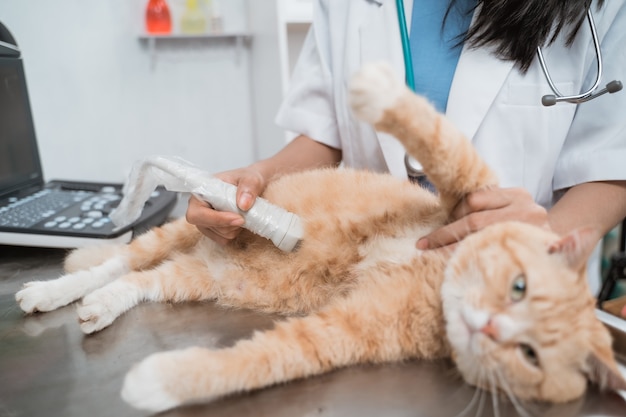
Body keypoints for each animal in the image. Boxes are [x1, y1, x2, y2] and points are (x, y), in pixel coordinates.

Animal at [14, 62, 624, 412]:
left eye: (530, 354)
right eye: (518, 286)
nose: (486, 324)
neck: (433, 277)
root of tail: (205, 252)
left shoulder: (344, 332)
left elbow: (258, 360)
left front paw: (158, 383)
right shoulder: (467, 194)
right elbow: (440, 141)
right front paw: (380, 94)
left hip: (192, 275)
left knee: (136, 283)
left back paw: (96, 308)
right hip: (175, 236)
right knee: (116, 263)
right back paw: (49, 290)